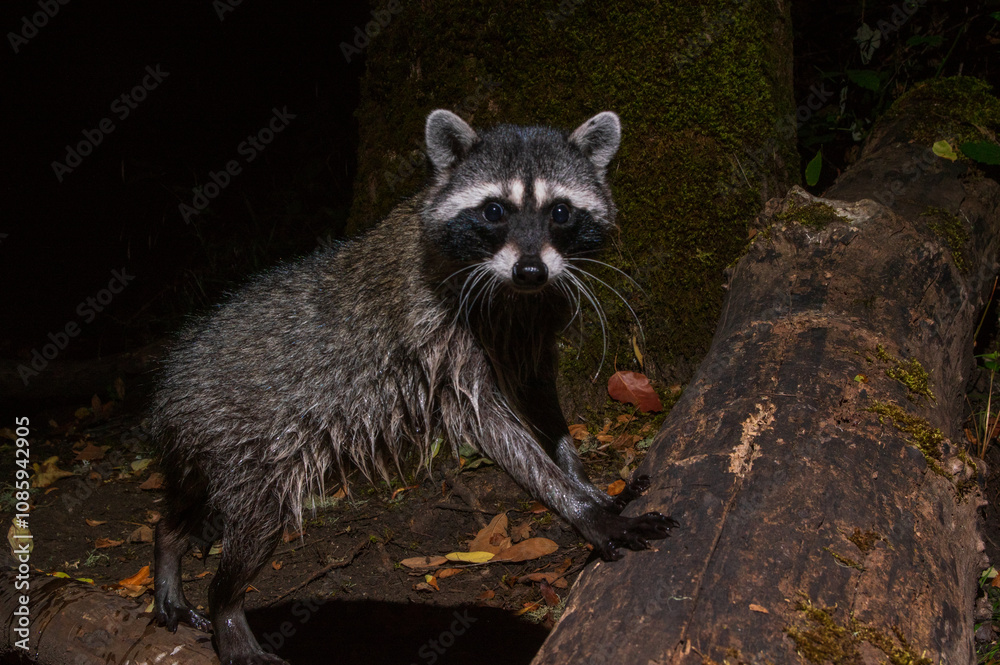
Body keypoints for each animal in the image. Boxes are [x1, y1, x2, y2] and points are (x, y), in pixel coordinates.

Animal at [151, 109, 676, 665]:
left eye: (561, 211)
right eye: (494, 210)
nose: (530, 270)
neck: (510, 290)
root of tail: (170, 388)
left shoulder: (531, 320)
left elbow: (539, 401)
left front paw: (582, 481)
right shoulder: (437, 334)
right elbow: (494, 428)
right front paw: (583, 508)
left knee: (188, 506)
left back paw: (167, 541)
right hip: (242, 444)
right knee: (252, 528)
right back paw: (226, 607)